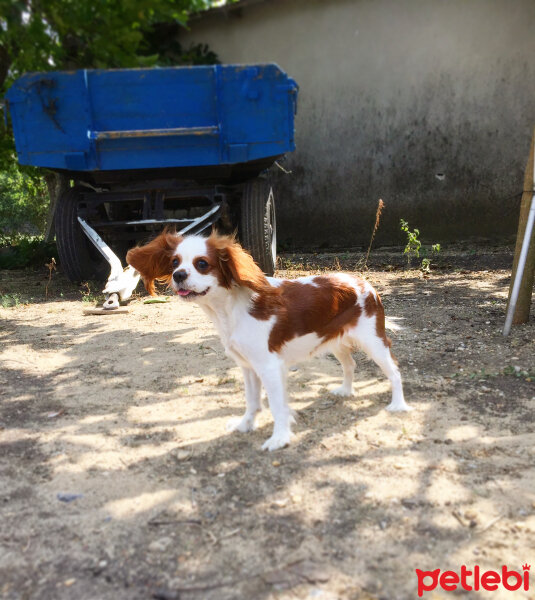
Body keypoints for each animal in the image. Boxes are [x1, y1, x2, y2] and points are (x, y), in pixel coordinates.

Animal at [126, 230, 410, 450]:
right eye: (174, 262)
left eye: (202, 264)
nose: (179, 275)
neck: (230, 309)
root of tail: (364, 282)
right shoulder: (248, 366)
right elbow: (252, 401)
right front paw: (245, 425)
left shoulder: (269, 367)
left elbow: (276, 406)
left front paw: (279, 439)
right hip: (335, 341)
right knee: (350, 365)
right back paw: (346, 391)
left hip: (373, 342)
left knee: (394, 371)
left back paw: (398, 405)